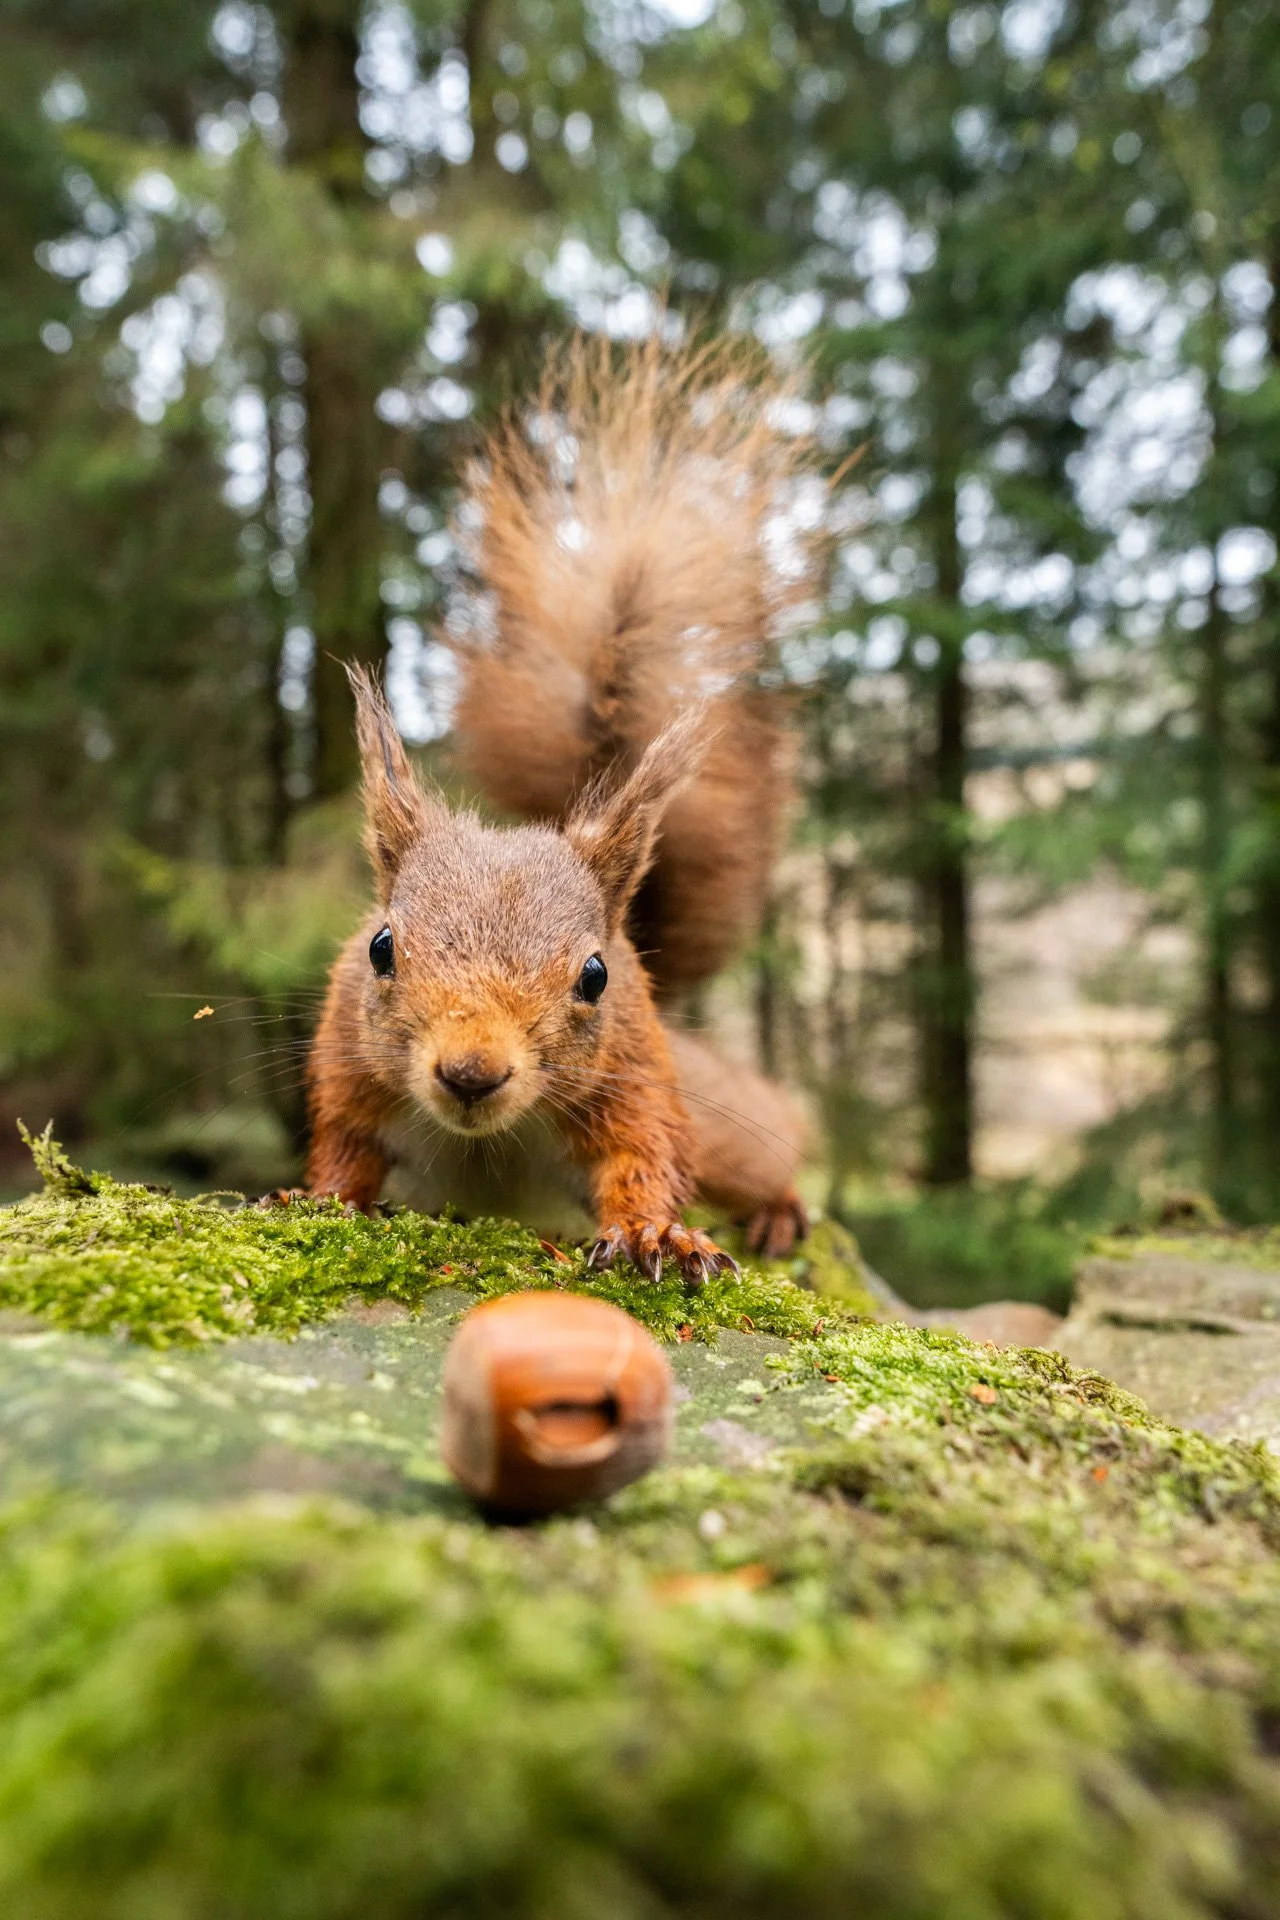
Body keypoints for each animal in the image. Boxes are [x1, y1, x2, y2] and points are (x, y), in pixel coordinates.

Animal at [304, 333, 822, 1285]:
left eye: (595, 975)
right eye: (381, 948)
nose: (471, 1072)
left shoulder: (635, 1083)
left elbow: (646, 1157)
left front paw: (658, 1234)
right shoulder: (347, 1072)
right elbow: (343, 1148)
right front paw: (313, 1198)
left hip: (721, 1116)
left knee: (764, 1151)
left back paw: (778, 1213)